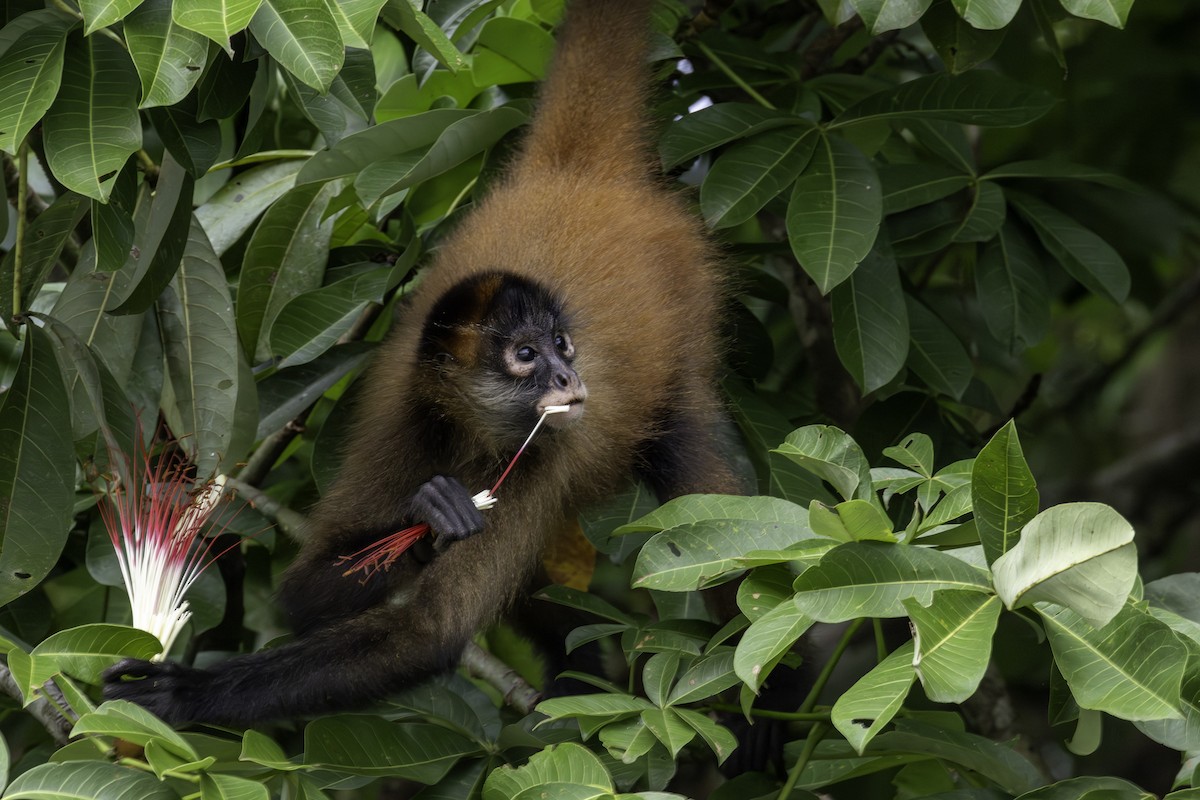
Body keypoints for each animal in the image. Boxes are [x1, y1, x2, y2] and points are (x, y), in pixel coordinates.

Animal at [104, 0, 743, 727]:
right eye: (526, 355)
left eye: (563, 345)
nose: (568, 378)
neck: (472, 432)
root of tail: (571, 176)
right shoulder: (406, 415)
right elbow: (302, 595)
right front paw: (431, 516)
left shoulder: (540, 453)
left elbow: (429, 632)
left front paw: (180, 693)